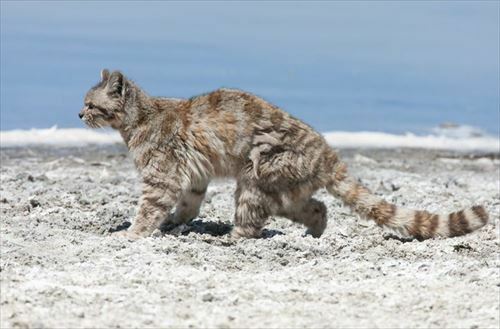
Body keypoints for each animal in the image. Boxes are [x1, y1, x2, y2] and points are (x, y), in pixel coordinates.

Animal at [79, 69, 488, 240]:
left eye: (90, 104)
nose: (78, 115)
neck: (140, 117)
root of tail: (327, 152)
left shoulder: (162, 174)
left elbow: (151, 207)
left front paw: (134, 233)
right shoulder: (193, 175)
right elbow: (189, 202)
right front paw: (175, 222)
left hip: (257, 177)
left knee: (255, 219)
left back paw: (235, 237)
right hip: (285, 188)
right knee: (316, 206)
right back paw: (314, 231)